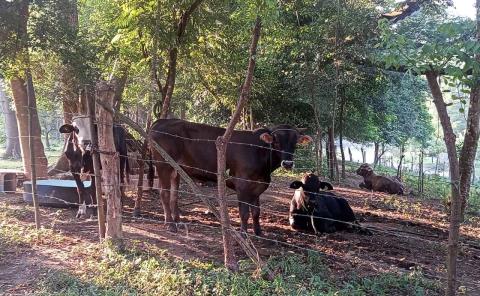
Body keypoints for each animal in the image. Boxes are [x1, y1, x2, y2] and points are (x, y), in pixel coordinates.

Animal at [150, 119, 316, 235]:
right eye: (275, 141)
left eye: (295, 142)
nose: (287, 163)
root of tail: (161, 121)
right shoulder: (242, 184)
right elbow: (244, 212)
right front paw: (243, 233)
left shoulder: (258, 185)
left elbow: (256, 211)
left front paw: (258, 232)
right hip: (163, 164)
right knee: (164, 193)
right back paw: (170, 224)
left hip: (175, 169)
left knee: (174, 194)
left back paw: (178, 221)